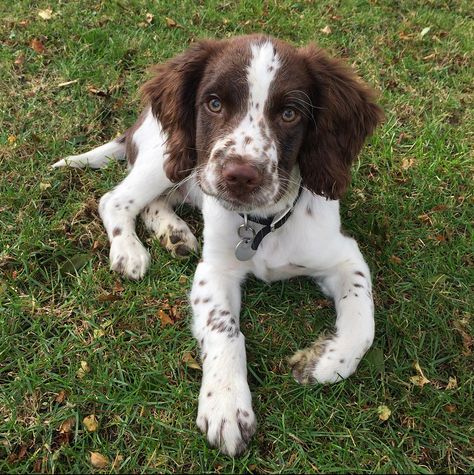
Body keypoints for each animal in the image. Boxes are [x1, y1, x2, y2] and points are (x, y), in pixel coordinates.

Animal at [53, 34, 384, 458]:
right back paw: (129, 251)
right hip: (170, 157)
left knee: (154, 203)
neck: (262, 224)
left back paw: (174, 233)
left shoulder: (344, 255)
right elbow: (224, 329)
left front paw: (322, 363)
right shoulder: (214, 271)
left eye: (290, 113)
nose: (240, 175)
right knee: (115, 199)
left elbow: (362, 323)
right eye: (213, 103)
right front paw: (226, 405)